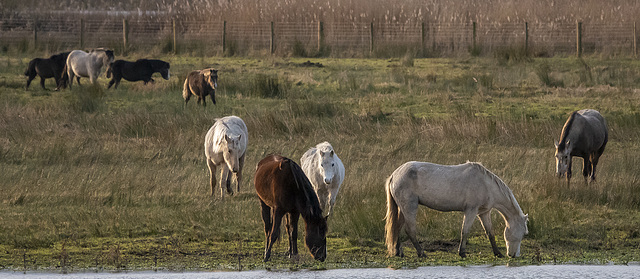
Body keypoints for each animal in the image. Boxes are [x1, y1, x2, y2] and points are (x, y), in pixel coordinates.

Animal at [384, 162, 528, 260]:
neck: (486, 184)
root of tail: (394, 175)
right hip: (410, 206)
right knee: (410, 230)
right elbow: (465, 231)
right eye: (523, 233)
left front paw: (498, 253)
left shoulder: (484, 213)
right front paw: (462, 253)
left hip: (403, 209)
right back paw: (421, 253)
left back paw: (398, 252)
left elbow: (490, 233)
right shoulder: (471, 211)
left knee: (396, 227)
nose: (513, 255)